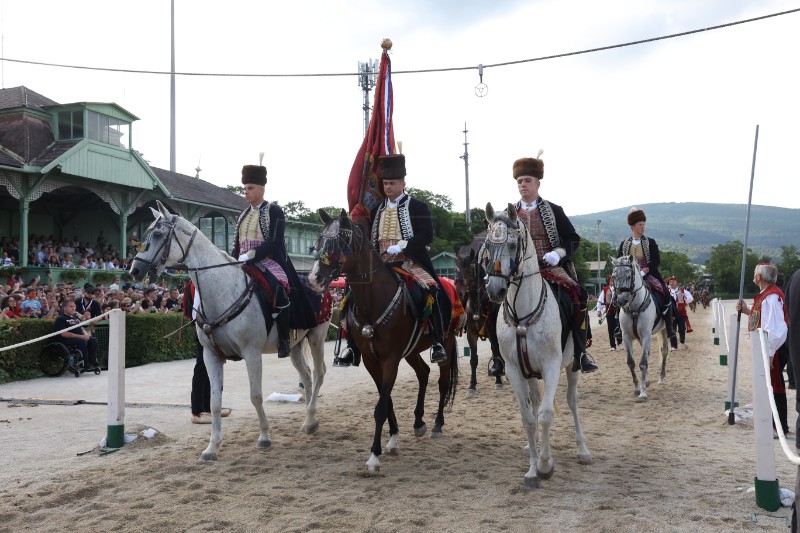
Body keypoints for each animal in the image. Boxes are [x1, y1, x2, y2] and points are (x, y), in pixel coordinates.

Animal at [130, 202, 330, 460]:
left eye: (157, 234)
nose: (135, 270)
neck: (222, 289)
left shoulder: (252, 353)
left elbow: (255, 395)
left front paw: (264, 437)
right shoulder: (211, 356)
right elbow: (215, 402)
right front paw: (212, 447)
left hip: (317, 337)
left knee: (318, 373)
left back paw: (311, 417)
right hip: (295, 345)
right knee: (306, 375)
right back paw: (308, 421)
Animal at [308, 210, 460, 472]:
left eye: (338, 244)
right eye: (318, 243)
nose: (313, 278)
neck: (373, 300)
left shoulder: (390, 359)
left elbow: (381, 406)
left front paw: (374, 455)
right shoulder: (372, 360)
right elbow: (385, 399)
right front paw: (393, 439)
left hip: (446, 343)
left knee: (441, 381)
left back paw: (437, 424)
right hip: (411, 351)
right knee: (423, 373)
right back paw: (418, 422)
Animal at [482, 204, 588, 486]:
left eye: (512, 244)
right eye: (488, 244)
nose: (495, 290)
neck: (522, 315)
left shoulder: (551, 366)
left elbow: (546, 414)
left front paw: (545, 465)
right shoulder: (514, 370)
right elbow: (528, 418)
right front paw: (532, 467)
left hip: (572, 366)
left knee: (572, 401)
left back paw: (583, 450)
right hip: (530, 372)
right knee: (536, 401)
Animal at [612, 254, 668, 400]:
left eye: (629, 275)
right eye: (614, 276)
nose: (621, 300)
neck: (634, 308)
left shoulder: (646, 335)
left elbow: (643, 363)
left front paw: (643, 393)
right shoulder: (626, 337)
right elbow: (631, 362)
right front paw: (638, 388)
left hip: (664, 330)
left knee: (664, 351)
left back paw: (661, 378)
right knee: (648, 353)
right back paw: (647, 381)